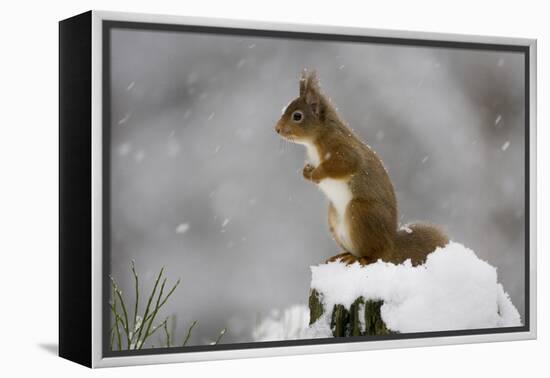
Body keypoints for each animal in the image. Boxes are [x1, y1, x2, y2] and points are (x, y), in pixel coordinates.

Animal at [274, 71, 450, 266]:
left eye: (297, 116)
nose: (277, 129)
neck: (315, 141)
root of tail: (390, 246)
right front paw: (306, 172)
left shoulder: (342, 149)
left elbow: (345, 164)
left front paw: (317, 174)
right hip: (333, 218)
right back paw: (343, 255)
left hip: (360, 213)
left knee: (373, 255)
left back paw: (359, 258)